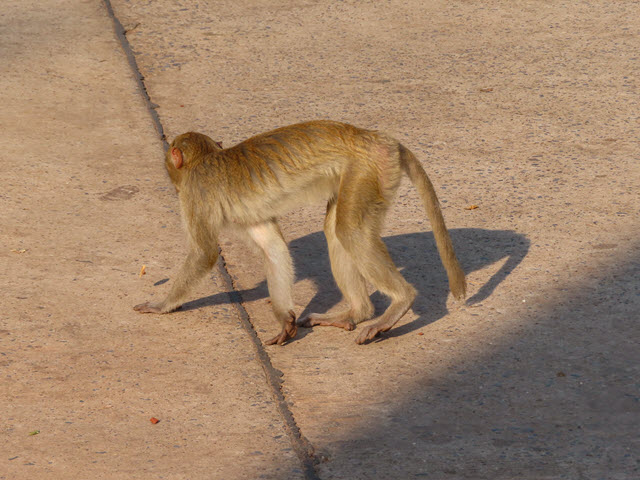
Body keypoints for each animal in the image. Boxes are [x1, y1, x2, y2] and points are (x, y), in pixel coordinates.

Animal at [134, 120, 466, 345]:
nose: (170, 177)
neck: (205, 159)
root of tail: (378, 138)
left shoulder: (194, 193)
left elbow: (204, 253)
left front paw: (161, 305)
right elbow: (273, 248)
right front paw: (284, 320)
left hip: (366, 171)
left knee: (349, 230)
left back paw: (400, 301)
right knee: (335, 231)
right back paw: (356, 313)